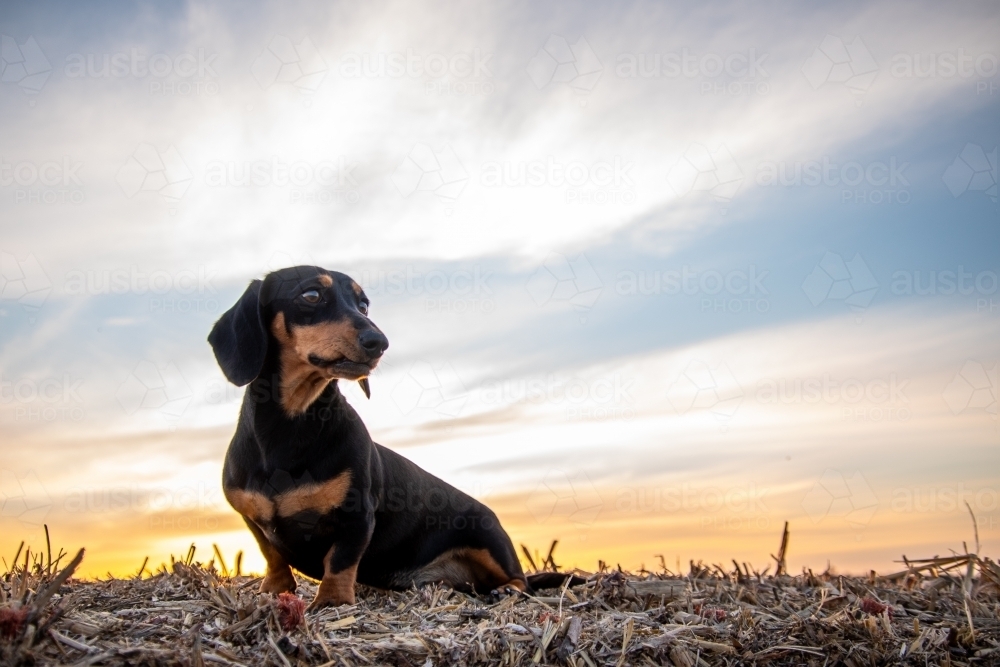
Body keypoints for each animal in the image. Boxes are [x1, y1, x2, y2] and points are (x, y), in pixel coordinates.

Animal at [209, 266, 532, 612]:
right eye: (311, 295)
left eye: (363, 305)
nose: (379, 342)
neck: (289, 426)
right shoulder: (252, 518)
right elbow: (271, 554)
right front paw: (275, 589)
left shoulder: (357, 517)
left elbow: (340, 561)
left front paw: (332, 601)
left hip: (490, 540)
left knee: (522, 581)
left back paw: (507, 590)